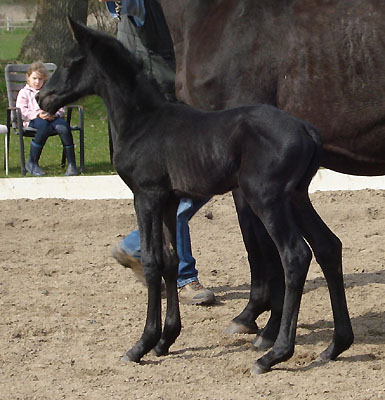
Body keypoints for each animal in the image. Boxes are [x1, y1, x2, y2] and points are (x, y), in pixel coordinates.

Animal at [37, 18, 352, 376]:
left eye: (70, 62)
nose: (42, 98)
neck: (143, 121)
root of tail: (307, 130)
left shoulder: (146, 195)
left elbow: (152, 262)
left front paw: (141, 345)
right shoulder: (169, 200)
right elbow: (171, 261)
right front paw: (166, 340)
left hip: (267, 199)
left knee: (295, 255)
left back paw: (274, 354)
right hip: (297, 197)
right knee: (328, 246)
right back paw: (335, 346)